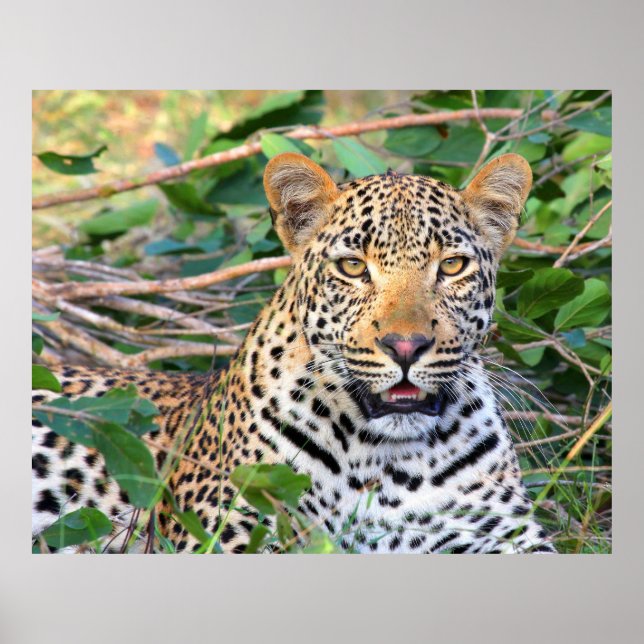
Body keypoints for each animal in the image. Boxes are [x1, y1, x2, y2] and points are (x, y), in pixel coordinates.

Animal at [32, 152, 556, 554]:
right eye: (352, 267)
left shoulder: (500, 535)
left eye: (452, 266)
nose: (405, 346)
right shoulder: (228, 532)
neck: (386, 463)